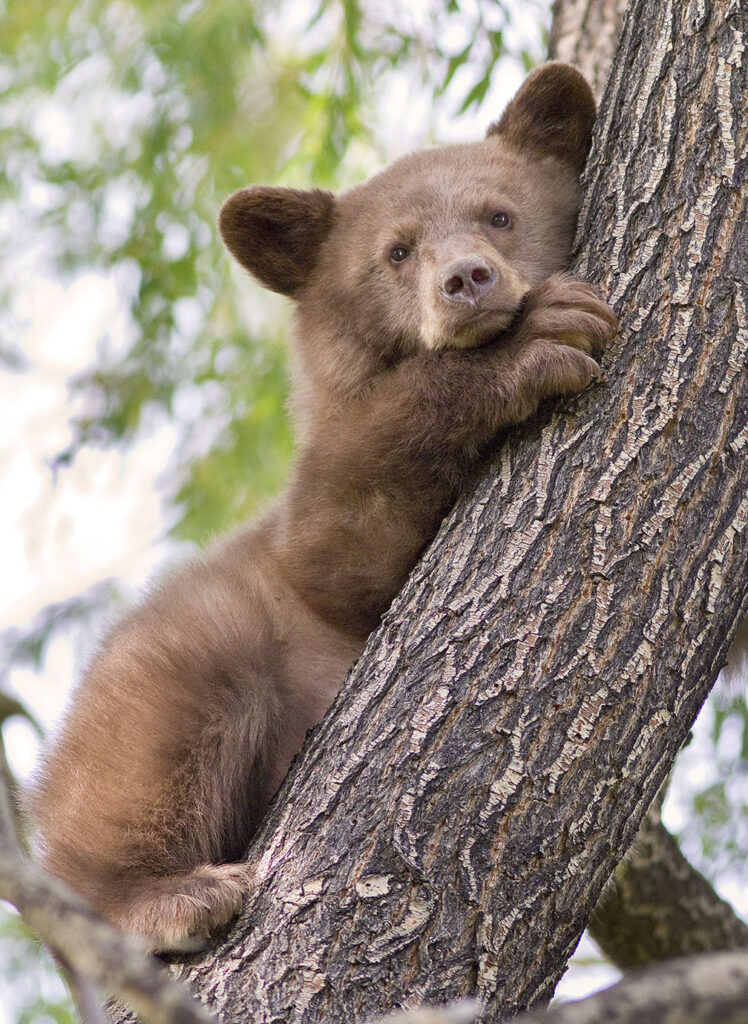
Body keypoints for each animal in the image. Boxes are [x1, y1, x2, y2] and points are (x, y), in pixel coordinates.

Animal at [25, 62, 617, 948]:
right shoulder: (306, 532)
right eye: (397, 251)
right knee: (147, 739)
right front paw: (530, 340)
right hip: (185, 648)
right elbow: (341, 541)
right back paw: (168, 897)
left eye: (500, 214)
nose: (466, 281)